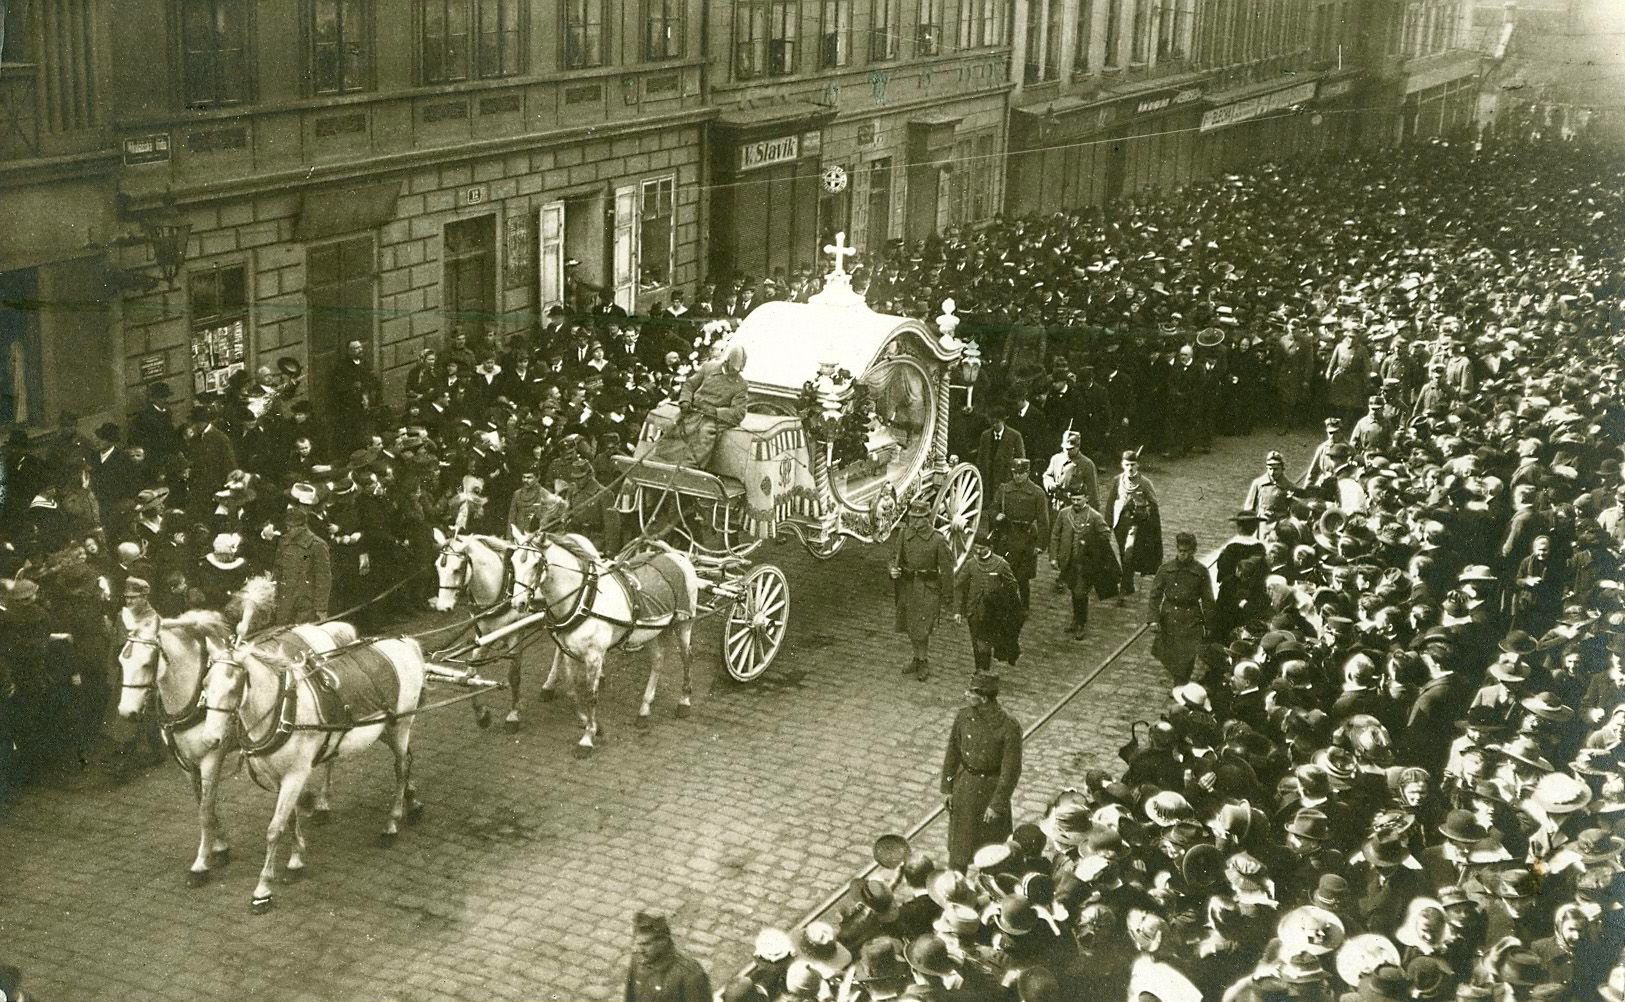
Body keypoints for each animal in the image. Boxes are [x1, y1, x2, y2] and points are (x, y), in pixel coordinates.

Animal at [118, 600, 360, 883]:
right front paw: (219, 846)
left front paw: (201, 863)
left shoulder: (212, 757)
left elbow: (205, 810)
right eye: (122, 660)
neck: (194, 694)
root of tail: (319, 628)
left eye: (147, 663)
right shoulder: (187, 763)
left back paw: (322, 803)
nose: (126, 712)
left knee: (330, 758)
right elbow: (203, 805)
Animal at [195, 633, 432, 915]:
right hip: (385, 730)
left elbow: (275, 829)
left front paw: (263, 890)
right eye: (205, 683)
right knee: (407, 758)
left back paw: (391, 824)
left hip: (401, 725)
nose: (210, 740)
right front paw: (296, 860)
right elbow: (290, 818)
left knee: (401, 768)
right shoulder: (278, 776)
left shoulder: (295, 774)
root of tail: (405, 642)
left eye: (233, 687)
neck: (285, 708)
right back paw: (413, 802)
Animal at [432, 526, 539, 730]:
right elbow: (470, 675)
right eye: (437, 568)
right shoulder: (483, 637)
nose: (442, 608)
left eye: (457, 569)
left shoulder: (515, 635)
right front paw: (482, 715)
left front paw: (513, 715)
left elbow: (513, 676)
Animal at [507, 532, 698, 750]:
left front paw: (587, 738)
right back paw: (644, 710)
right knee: (658, 662)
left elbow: (591, 695)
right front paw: (588, 723)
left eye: (536, 564)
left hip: (684, 624)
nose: (518, 603)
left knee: (687, 659)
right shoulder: (569, 650)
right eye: (513, 563)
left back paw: (684, 701)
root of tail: (674, 555)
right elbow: (572, 689)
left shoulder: (595, 655)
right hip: (653, 631)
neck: (584, 599)